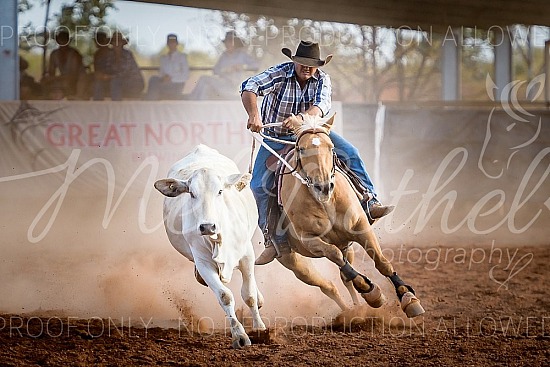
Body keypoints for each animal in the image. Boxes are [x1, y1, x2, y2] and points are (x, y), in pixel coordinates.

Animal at [155, 144, 268, 348]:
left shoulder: (246, 255)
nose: (207, 226)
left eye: (220, 191)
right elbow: (225, 296)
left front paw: (259, 328)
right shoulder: (203, 262)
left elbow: (249, 295)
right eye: (192, 193)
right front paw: (239, 336)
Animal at [274, 114, 424, 320]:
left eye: (331, 147)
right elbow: (334, 255)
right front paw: (371, 291)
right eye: (302, 149)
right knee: (328, 285)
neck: (326, 202)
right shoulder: (310, 239)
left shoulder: (361, 227)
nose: (324, 187)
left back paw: (357, 309)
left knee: (344, 278)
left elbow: (381, 262)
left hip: (347, 245)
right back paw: (350, 311)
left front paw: (408, 297)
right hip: (295, 263)